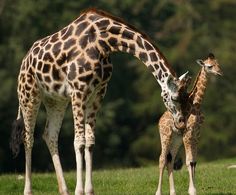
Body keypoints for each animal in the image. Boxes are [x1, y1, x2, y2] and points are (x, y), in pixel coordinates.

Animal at [10, 8, 189, 195]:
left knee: (49, 134)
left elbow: (90, 141)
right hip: (29, 94)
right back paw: (28, 190)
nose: (181, 123)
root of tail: (24, 60)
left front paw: (89, 189)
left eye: (188, 98)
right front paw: (79, 190)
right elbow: (79, 141)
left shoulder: (98, 92)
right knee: (27, 137)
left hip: (55, 100)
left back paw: (64, 189)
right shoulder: (78, 90)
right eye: (174, 98)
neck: (104, 42)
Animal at [156, 53, 222, 195]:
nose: (219, 72)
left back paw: (173, 192)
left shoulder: (196, 134)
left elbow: (194, 161)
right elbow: (188, 161)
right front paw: (192, 190)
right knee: (162, 159)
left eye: (218, 64)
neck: (196, 103)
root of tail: (160, 120)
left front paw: (193, 189)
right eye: (209, 66)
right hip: (165, 135)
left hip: (176, 138)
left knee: (170, 160)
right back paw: (158, 192)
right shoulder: (188, 133)